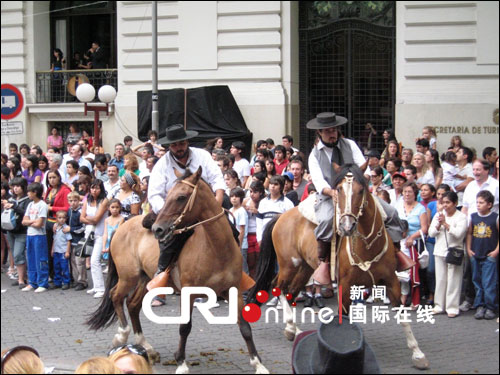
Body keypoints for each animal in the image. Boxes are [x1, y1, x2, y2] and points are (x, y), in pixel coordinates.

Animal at [89, 168, 270, 375]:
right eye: (168, 195)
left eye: (181, 197)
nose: (158, 229)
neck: (216, 249)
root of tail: (122, 226)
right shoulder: (188, 293)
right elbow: (185, 327)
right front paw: (181, 363)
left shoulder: (234, 291)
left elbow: (245, 327)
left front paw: (258, 364)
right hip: (128, 277)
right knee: (116, 296)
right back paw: (121, 336)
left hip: (145, 279)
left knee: (133, 305)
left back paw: (147, 347)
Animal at [249, 164, 430, 370]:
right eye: (339, 190)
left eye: (361, 190)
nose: (347, 226)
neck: (367, 245)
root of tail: (282, 216)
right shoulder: (345, 285)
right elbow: (343, 318)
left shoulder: (391, 281)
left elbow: (403, 317)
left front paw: (417, 353)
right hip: (289, 264)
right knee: (277, 286)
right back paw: (290, 326)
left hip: (305, 268)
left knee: (290, 292)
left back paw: (293, 330)